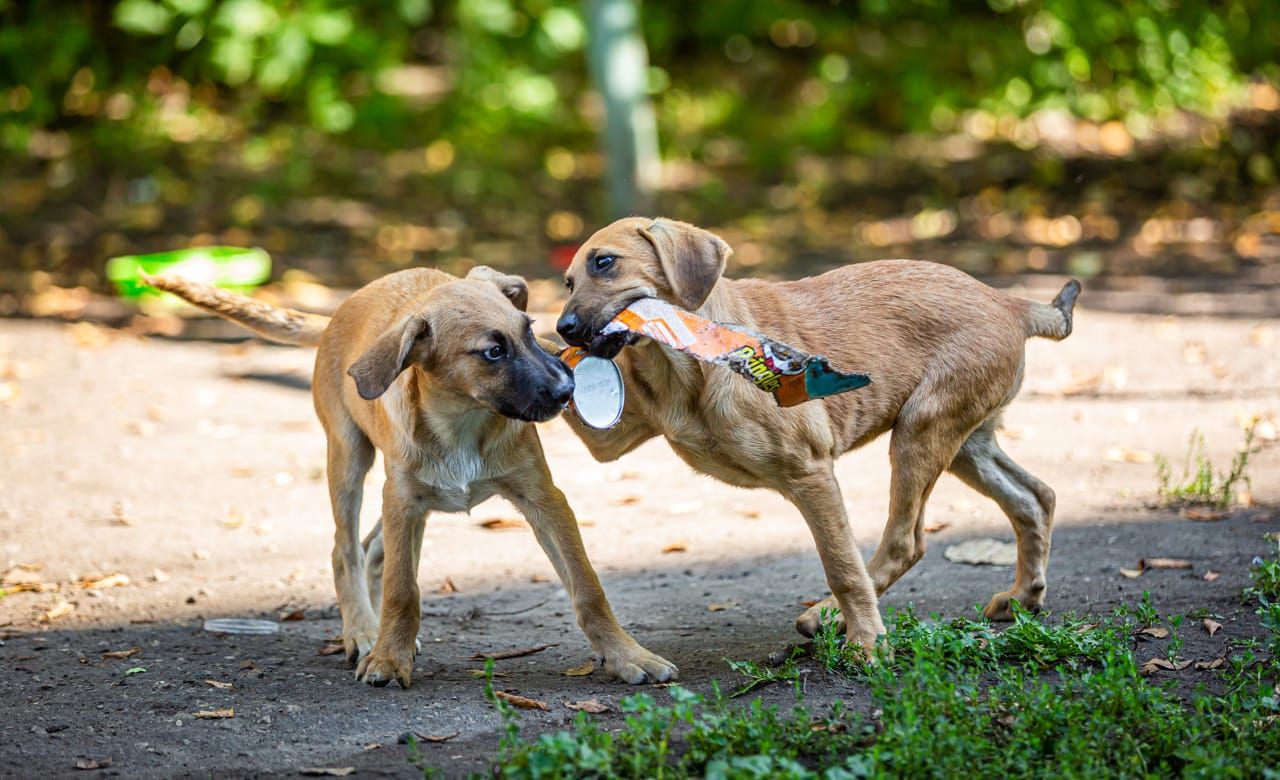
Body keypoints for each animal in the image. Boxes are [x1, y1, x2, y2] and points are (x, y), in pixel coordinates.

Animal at [144, 265, 675, 686]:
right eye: (493, 352)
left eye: (529, 331)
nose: (568, 391)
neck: (463, 419)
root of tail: (338, 312)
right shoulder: (402, 498)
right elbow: (404, 590)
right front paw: (388, 659)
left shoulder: (542, 498)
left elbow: (588, 587)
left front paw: (628, 657)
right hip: (350, 459)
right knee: (346, 549)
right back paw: (363, 632)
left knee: (372, 548)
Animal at [555, 216, 1075, 653]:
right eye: (567, 282)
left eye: (605, 262)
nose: (564, 327)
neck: (688, 362)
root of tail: (1010, 302)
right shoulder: (609, 440)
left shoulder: (811, 473)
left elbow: (842, 565)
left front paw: (867, 643)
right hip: (964, 442)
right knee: (1035, 497)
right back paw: (1023, 596)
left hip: (921, 432)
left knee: (905, 543)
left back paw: (827, 616)